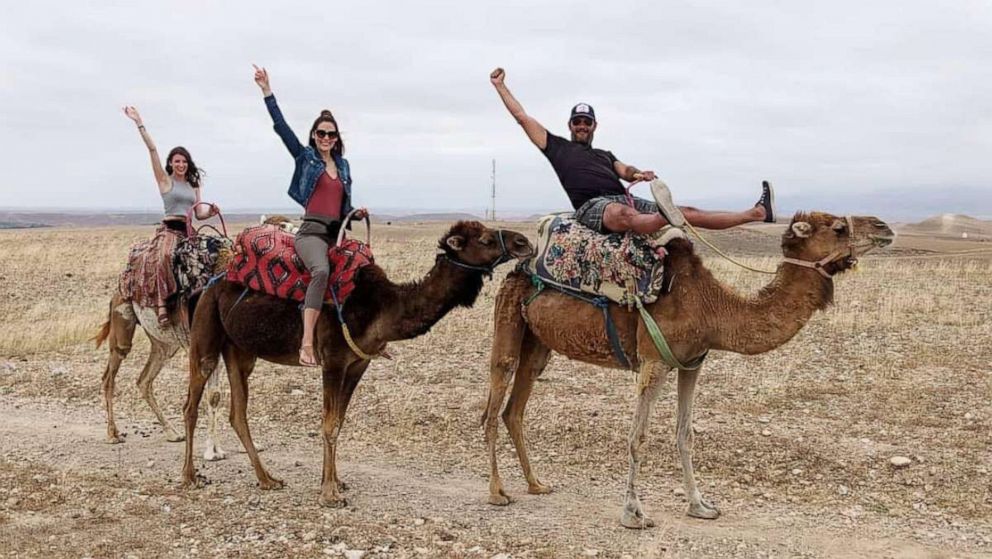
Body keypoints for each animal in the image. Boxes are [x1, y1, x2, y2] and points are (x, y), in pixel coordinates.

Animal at [178, 222, 536, 508]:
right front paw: (329, 494)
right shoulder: (333, 360)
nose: (524, 243)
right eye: (486, 240)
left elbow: (339, 421)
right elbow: (329, 425)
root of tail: (211, 281)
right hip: (206, 335)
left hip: (240, 350)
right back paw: (190, 476)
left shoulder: (358, 364)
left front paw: (335, 481)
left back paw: (267, 479)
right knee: (191, 403)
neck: (382, 308)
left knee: (238, 413)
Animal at [484, 211, 896, 528]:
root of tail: (520, 267)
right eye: (838, 228)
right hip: (508, 321)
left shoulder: (691, 364)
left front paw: (700, 506)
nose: (883, 226)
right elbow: (638, 437)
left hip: (538, 343)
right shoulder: (654, 362)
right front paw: (633, 513)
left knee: (514, 409)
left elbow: (686, 435)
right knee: (494, 401)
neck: (711, 308)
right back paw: (497, 493)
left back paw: (536, 484)